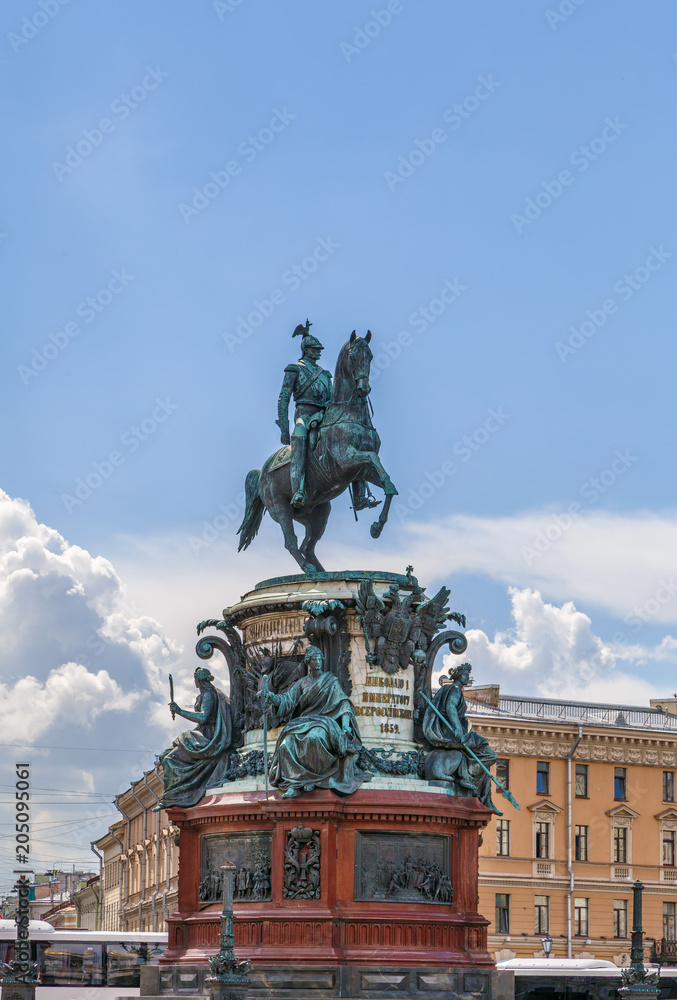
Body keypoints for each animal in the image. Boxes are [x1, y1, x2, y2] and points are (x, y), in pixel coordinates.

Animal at [236, 332, 396, 576]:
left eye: (370, 356)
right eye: (353, 356)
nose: (363, 389)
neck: (348, 416)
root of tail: (261, 472)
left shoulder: (360, 470)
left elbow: (385, 478)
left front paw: (377, 526)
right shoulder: (346, 460)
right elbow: (373, 458)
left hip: (318, 515)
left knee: (308, 546)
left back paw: (325, 573)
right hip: (281, 509)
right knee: (291, 542)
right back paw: (309, 568)